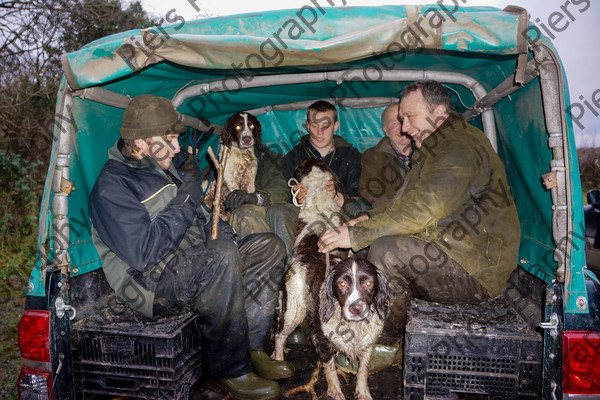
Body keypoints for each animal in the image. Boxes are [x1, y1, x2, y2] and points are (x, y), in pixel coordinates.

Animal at [272, 159, 390, 400]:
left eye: (369, 283)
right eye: (341, 284)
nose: (356, 307)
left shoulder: (368, 343)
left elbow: (363, 370)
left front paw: (363, 393)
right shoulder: (323, 339)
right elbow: (330, 369)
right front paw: (335, 392)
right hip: (294, 310)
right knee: (279, 335)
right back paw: (278, 362)